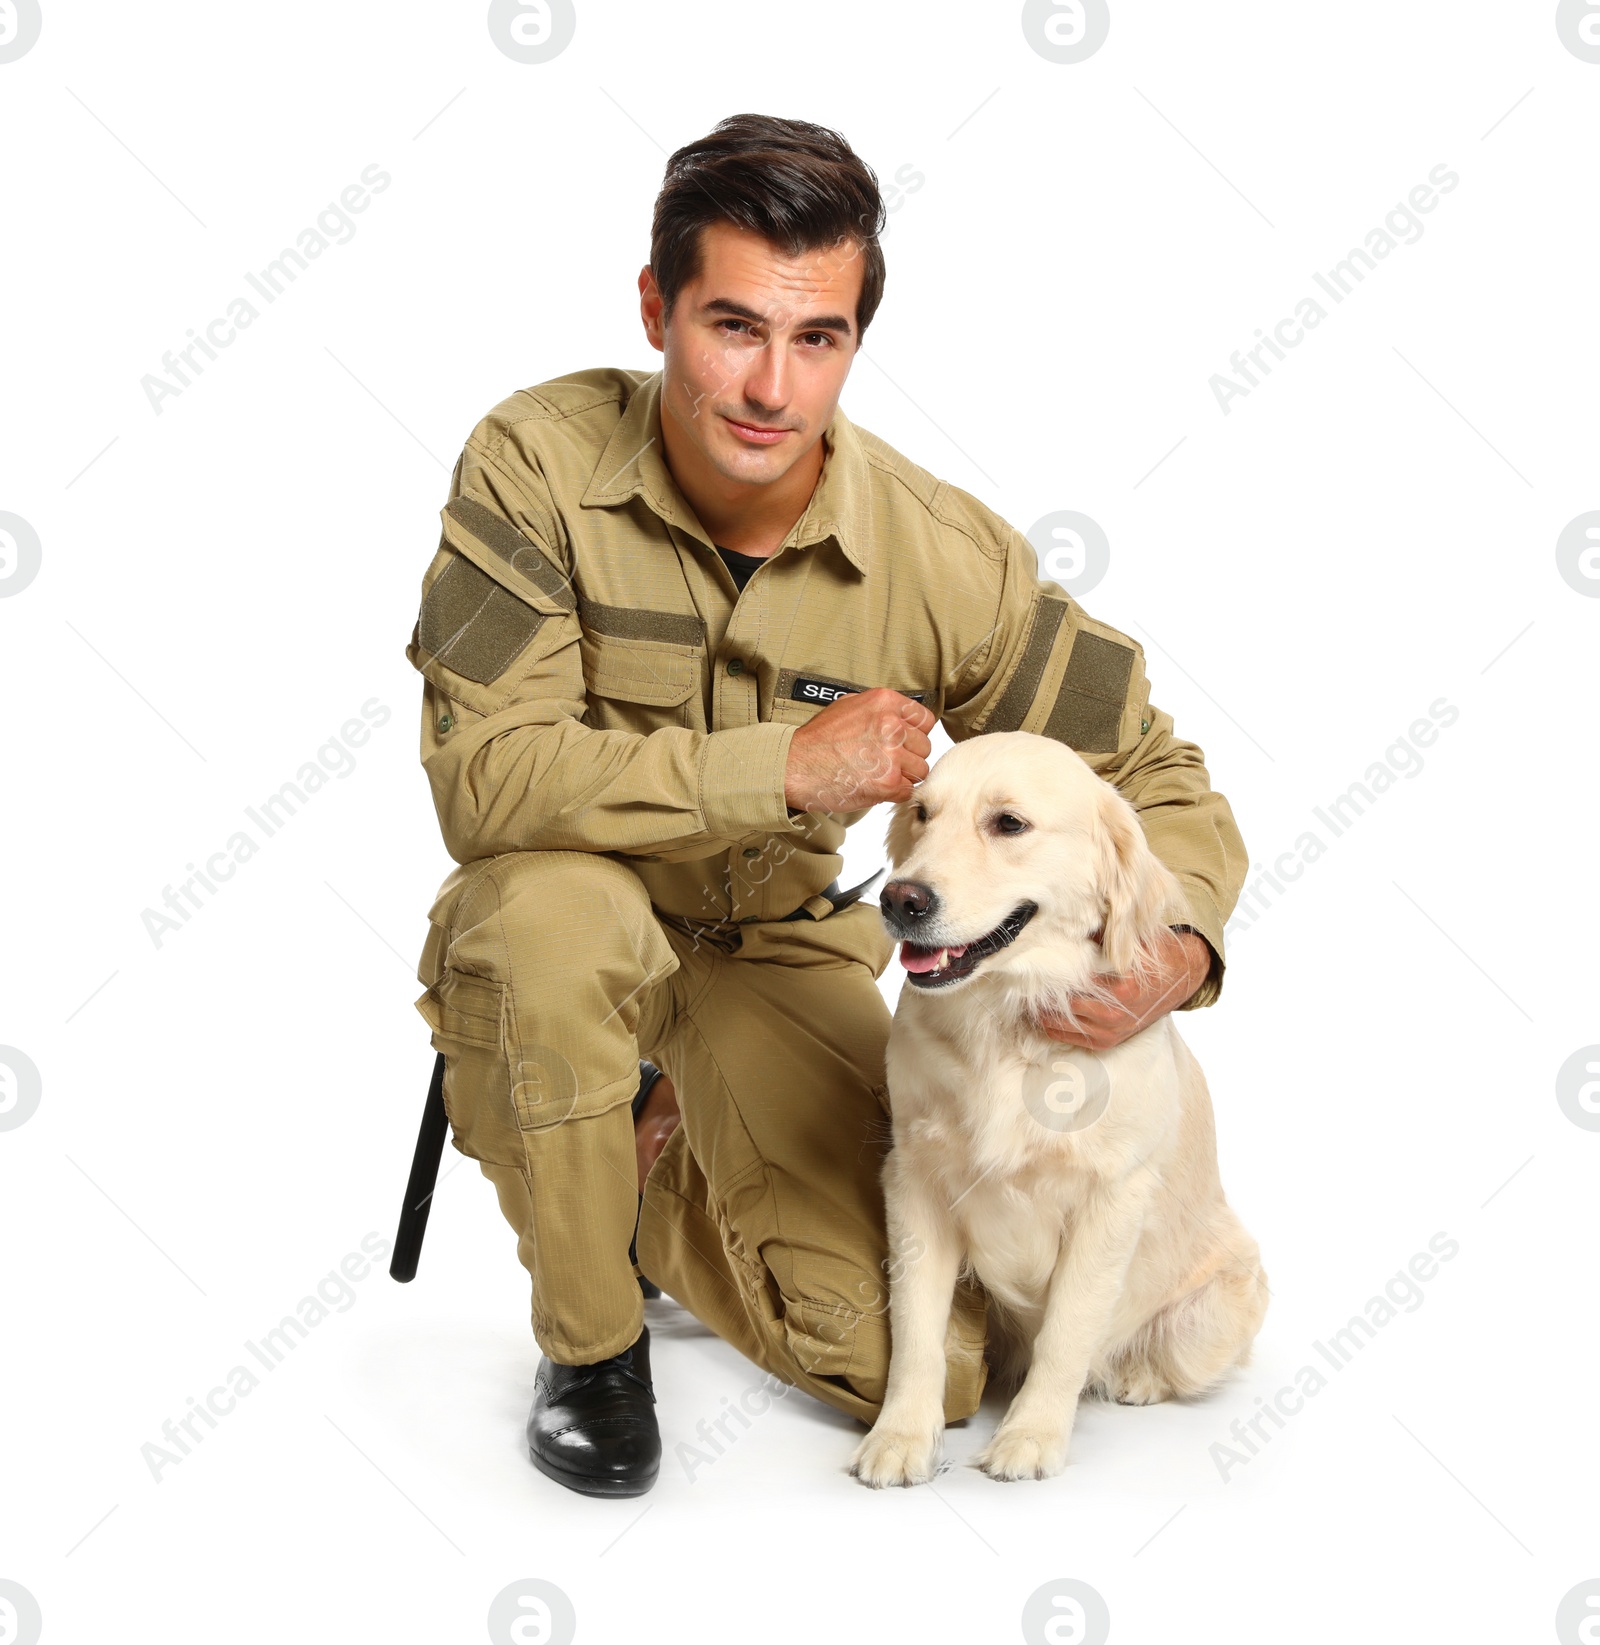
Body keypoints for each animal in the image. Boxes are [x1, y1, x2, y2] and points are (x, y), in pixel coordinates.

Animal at [848, 733, 1262, 1493]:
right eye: (922, 813)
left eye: (1008, 823)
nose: (899, 898)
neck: (1006, 1022)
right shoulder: (915, 1181)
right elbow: (917, 1331)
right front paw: (900, 1436)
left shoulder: (1110, 1199)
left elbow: (1067, 1334)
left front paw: (1031, 1435)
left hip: (1219, 1302)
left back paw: (1135, 1376)